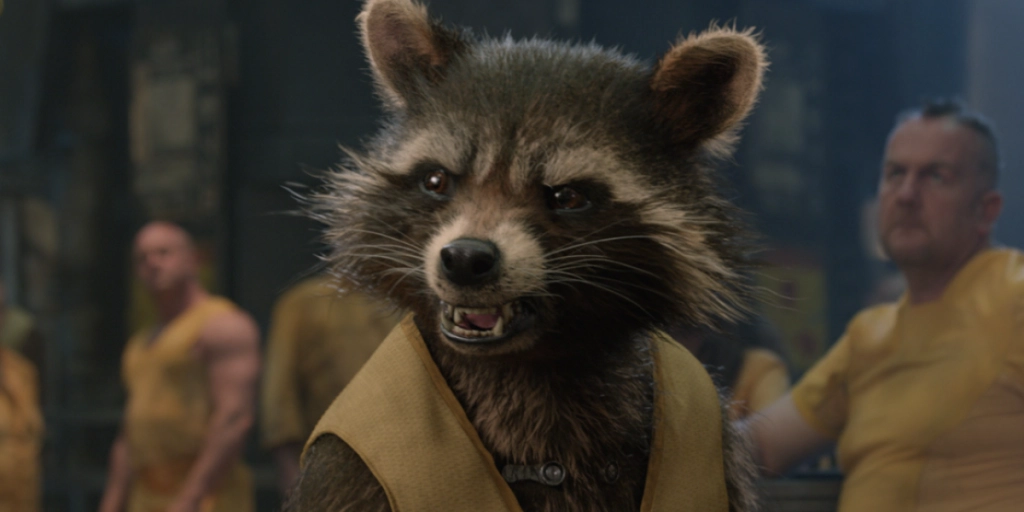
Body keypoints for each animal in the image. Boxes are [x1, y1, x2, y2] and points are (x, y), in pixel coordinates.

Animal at [289, 0, 766, 510]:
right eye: (437, 180)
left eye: (567, 196)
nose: (465, 258)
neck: (526, 362)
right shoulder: (346, 468)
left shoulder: (720, 453)